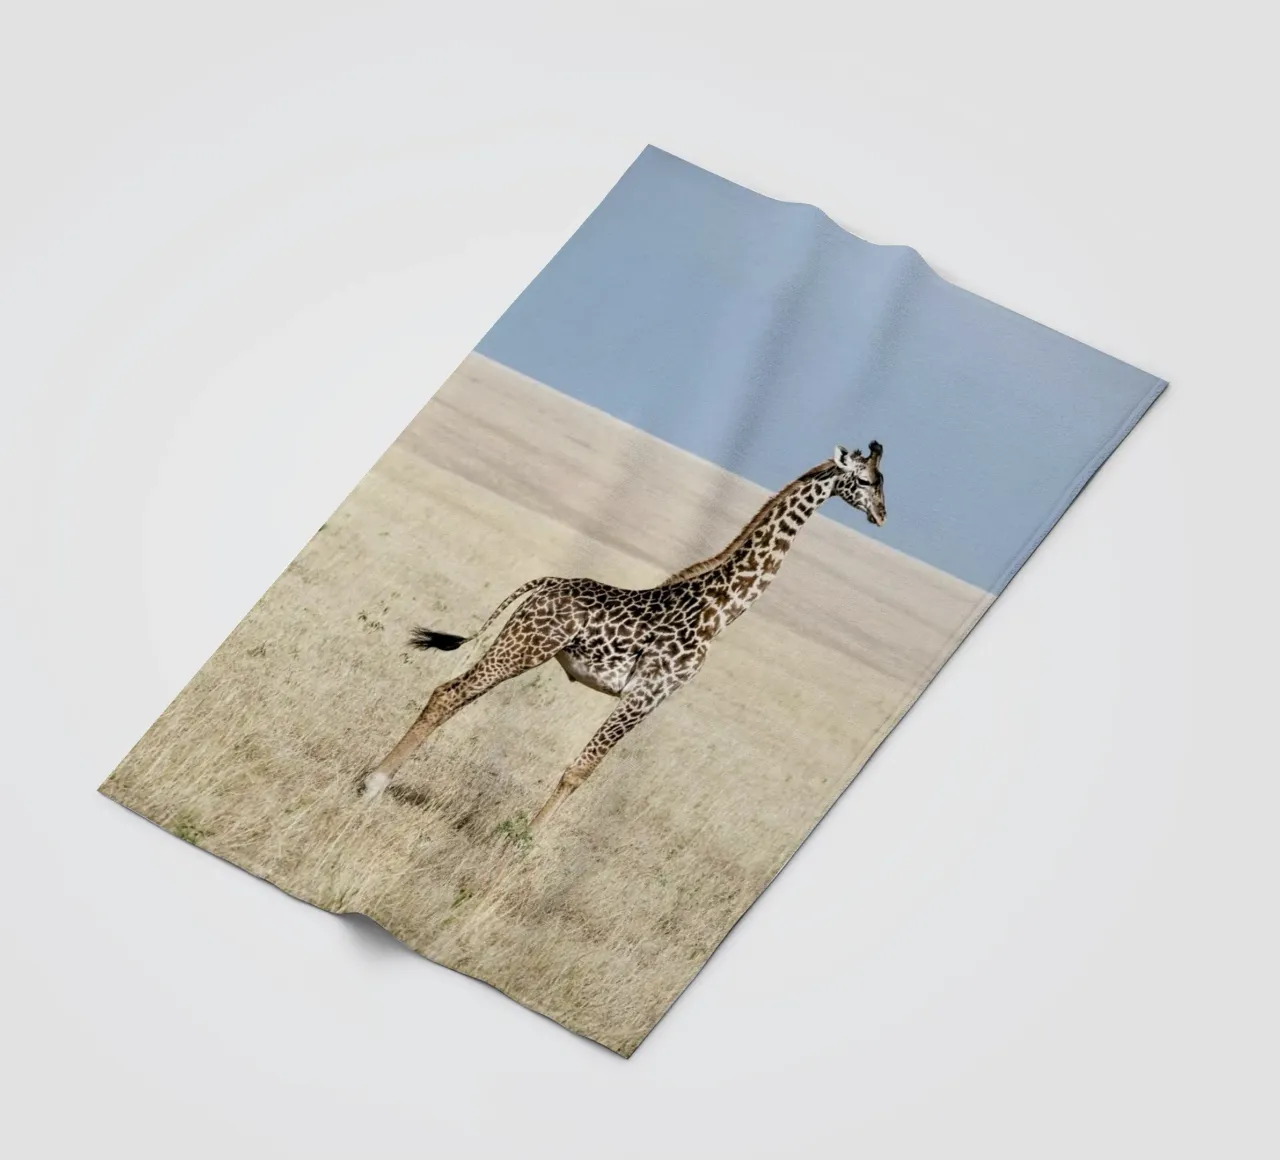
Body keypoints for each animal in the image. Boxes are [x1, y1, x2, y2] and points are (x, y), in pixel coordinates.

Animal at [359, 442, 886, 828]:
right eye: (864, 481)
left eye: (883, 484)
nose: (881, 516)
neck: (719, 611)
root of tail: (546, 582)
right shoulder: (646, 694)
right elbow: (580, 770)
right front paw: (523, 844)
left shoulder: (651, 699)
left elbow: (583, 769)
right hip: (525, 647)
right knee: (448, 694)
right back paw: (373, 783)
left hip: (520, 644)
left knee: (456, 695)